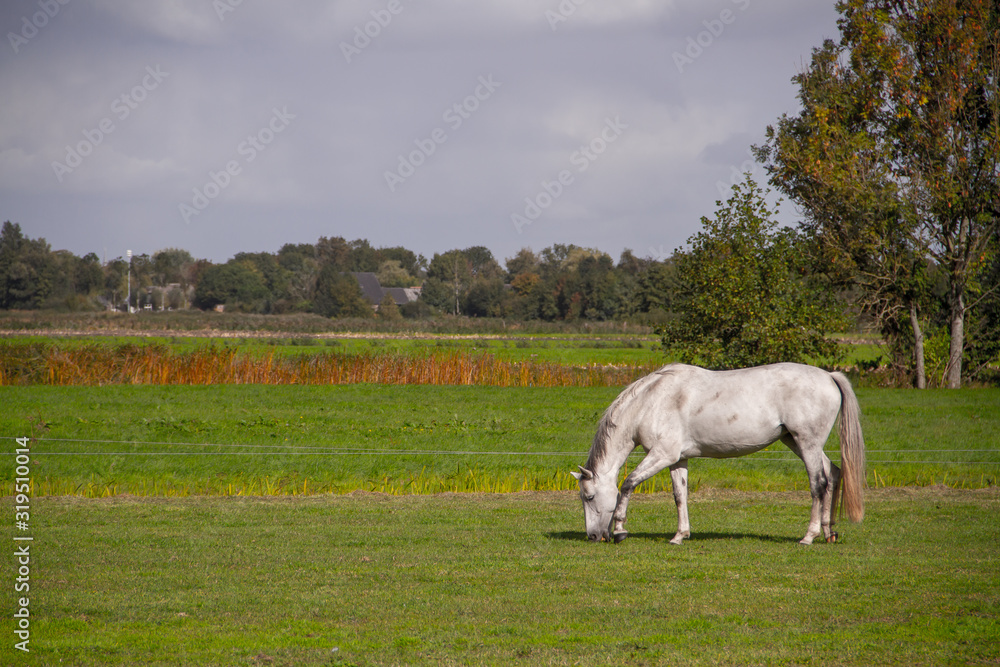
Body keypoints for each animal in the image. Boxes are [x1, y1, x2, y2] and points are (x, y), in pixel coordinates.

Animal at [572, 362, 866, 545]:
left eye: (589, 496)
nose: (593, 536)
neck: (651, 401)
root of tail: (829, 376)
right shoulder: (677, 460)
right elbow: (680, 495)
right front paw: (680, 535)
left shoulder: (662, 455)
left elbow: (628, 483)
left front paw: (620, 529)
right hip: (797, 442)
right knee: (833, 474)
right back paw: (828, 531)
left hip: (807, 443)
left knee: (819, 484)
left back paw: (809, 536)